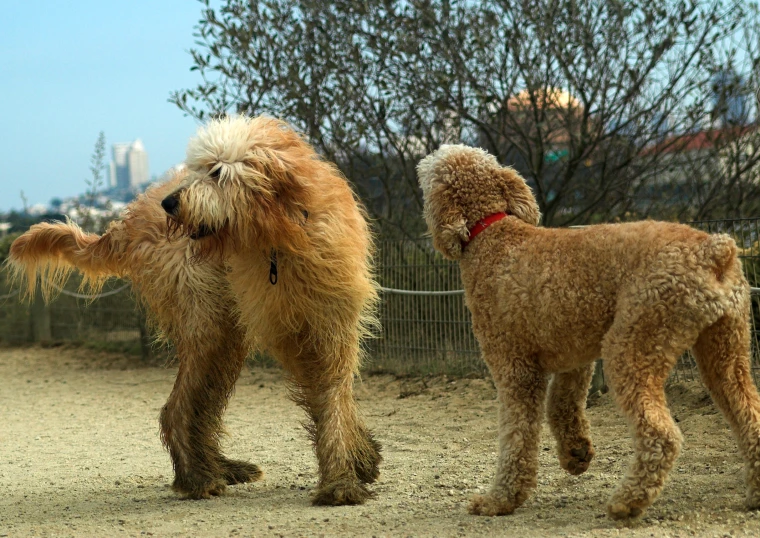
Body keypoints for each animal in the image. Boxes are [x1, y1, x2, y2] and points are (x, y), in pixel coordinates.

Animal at [7, 115, 380, 504]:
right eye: (196, 169)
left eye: (216, 172)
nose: (170, 203)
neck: (282, 236)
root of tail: (130, 222)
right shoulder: (289, 329)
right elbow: (327, 399)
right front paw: (343, 479)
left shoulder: (331, 322)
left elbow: (334, 395)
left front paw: (356, 463)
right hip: (209, 323)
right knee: (179, 408)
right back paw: (198, 478)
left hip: (222, 333)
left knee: (202, 403)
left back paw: (222, 468)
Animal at [416, 144, 760, 516]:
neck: (491, 232)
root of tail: (713, 251)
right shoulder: (574, 358)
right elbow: (561, 405)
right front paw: (576, 453)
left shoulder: (514, 368)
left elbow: (517, 435)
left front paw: (501, 499)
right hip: (726, 352)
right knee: (749, 414)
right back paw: (755, 494)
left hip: (632, 345)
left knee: (661, 435)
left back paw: (627, 501)